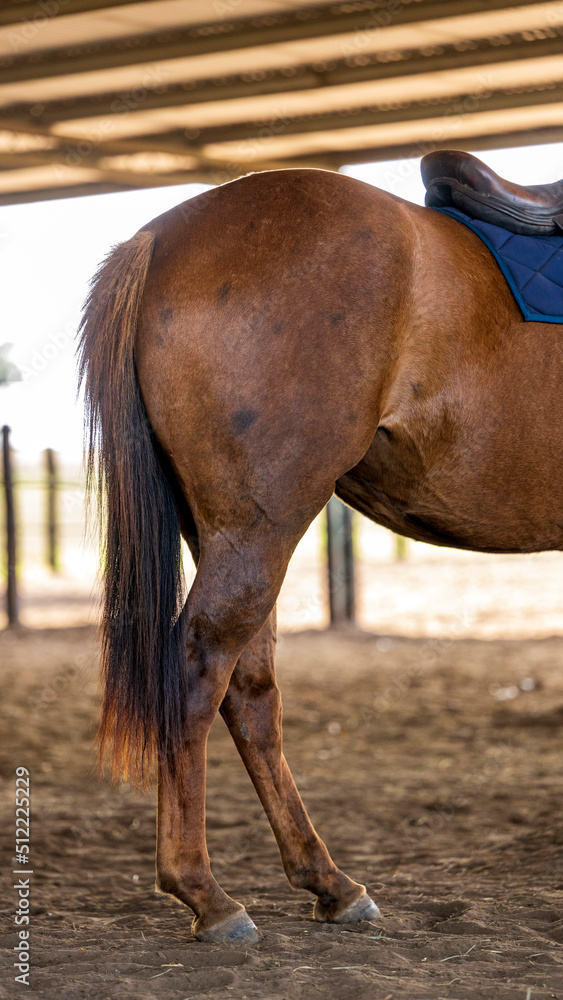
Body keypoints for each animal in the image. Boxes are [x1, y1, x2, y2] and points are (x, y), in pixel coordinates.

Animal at [78, 154, 563, 944]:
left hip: (231, 534)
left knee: (248, 690)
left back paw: (328, 882)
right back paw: (205, 894)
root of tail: (157, 240)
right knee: (197, 672)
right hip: (261, 528)